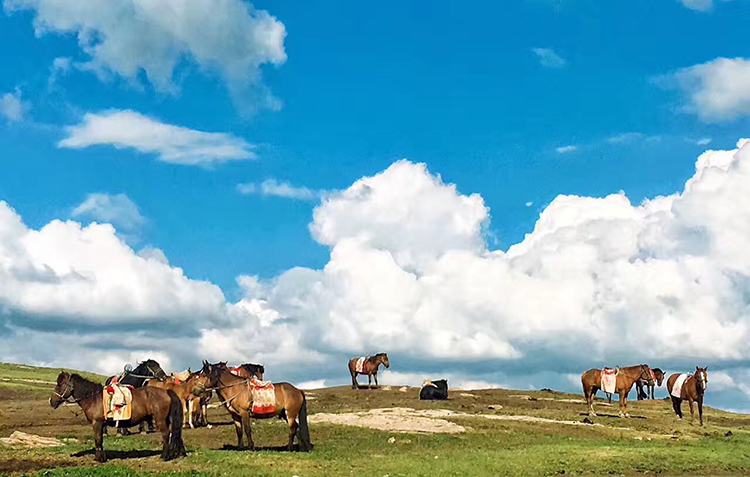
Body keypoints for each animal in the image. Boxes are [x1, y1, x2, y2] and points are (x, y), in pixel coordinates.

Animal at [50, 370, 185, 460]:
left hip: (160, 420)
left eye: (60, 384)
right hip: (168, 419)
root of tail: (166, 392)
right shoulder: (101, 424)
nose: (52, 401)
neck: (93, 398)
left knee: (166, 434)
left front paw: (99, 458)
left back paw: (164, 456)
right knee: (175, 434)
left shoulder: (97, 423)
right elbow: (100, 440)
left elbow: (98, 439)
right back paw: (178, 453)